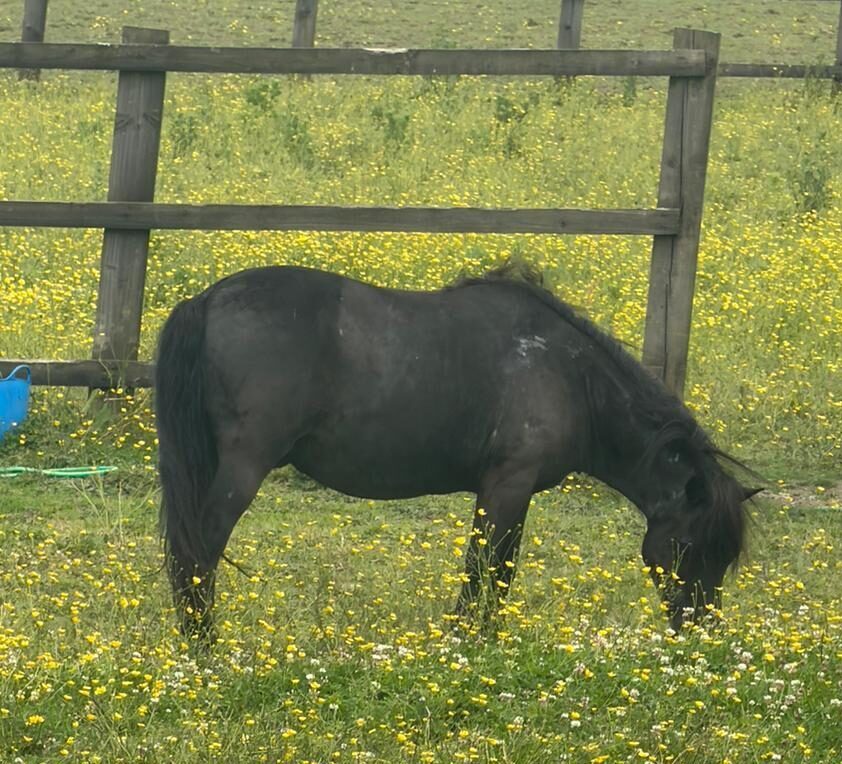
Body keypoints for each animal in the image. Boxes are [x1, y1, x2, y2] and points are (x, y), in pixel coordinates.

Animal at [155, 263, 758, 641]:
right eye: (689, 546)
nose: (698, 631)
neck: (568, 374)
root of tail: (207, 301)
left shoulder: (514, 491)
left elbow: (498, 570)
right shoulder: (507, 484)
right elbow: (484, 569)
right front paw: (467, 642)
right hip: (242, 467)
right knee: (198, 553)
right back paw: (204, 648)